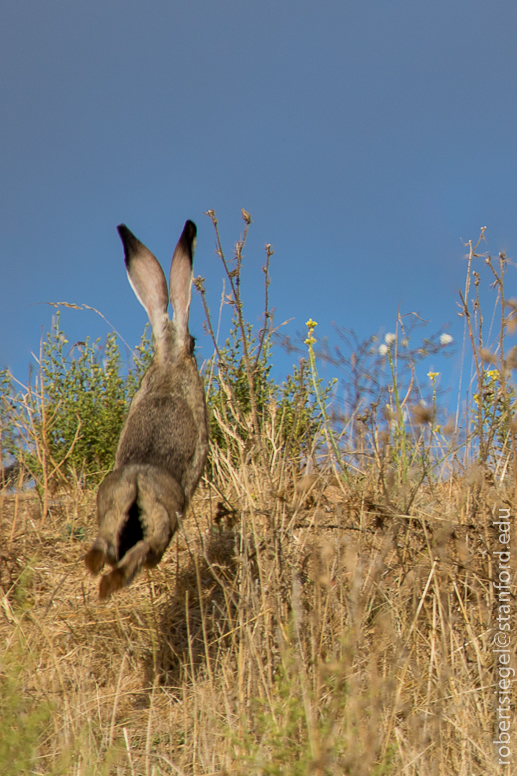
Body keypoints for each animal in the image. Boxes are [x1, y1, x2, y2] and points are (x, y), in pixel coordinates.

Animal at [83, 218, 207, 600]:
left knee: (105, 543)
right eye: (193, 342)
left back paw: (95, 567)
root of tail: (137, 480)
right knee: (143, 552)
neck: (169, 358)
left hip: (110, 503)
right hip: (161, 523)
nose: (194, 345)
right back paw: (110, 583)